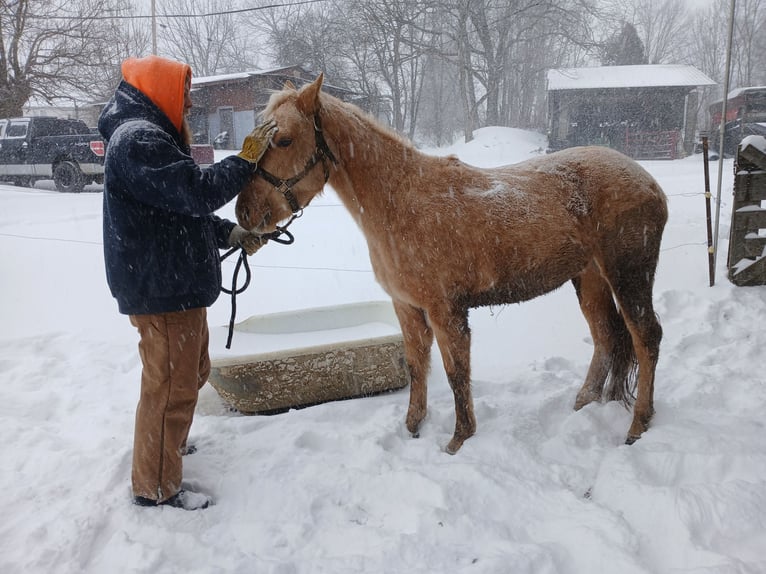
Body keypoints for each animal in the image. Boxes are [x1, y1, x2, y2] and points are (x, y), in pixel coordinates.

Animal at [236, 74, 667, 454]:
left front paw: (458, 440)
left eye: (285, 139)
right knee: (606, 336)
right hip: (590, 278)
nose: (244, 213)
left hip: (628, 275)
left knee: (646, 337)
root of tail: (648, 180)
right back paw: (585, 404)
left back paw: (637, 425)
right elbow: (417, 366)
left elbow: (456, 373)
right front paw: (412, 428)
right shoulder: (407, 307)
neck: (401, 203)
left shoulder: (446, 311)